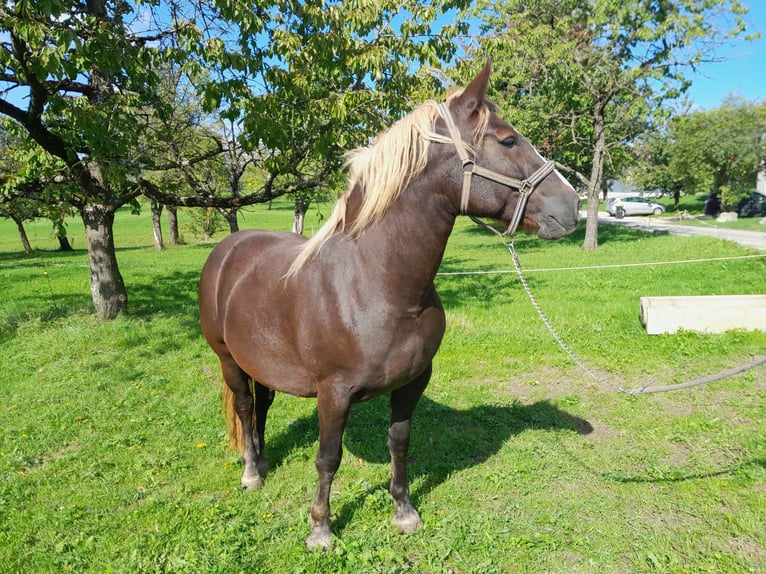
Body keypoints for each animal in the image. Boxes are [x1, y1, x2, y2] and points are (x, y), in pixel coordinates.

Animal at [198, 60, 580, 549]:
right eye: (508, 139)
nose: (572, 206)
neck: (376, 286)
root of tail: (227, 248)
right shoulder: (334, 393)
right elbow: (328, 458)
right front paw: (320, 529)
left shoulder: (413, 381)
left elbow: (399, 441)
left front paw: (403, 511)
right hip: (227, 357)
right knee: (246, 407)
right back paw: (251, 472)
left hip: (261, 360)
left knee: (262, 405)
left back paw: (263, 460)